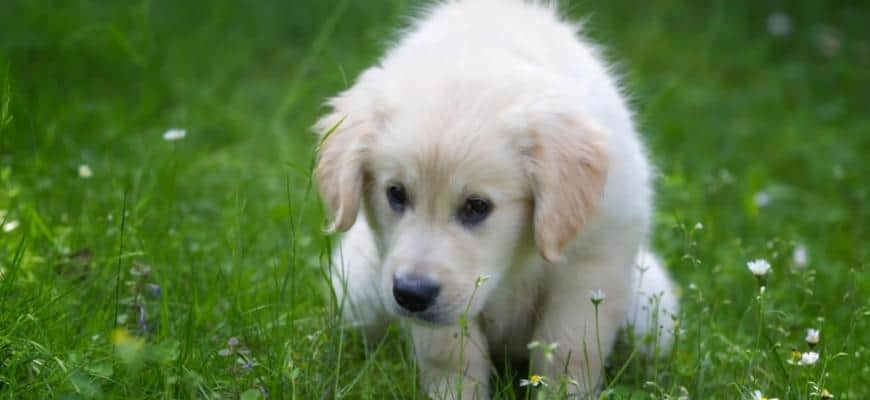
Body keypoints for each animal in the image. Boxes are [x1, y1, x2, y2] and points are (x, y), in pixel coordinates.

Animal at [316, 0, 680, 396]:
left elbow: (568, 349)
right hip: (357, 292)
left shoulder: (594, 260)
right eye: (395, 194)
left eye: (477, 206)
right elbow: (451, 357)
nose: (412, 294)